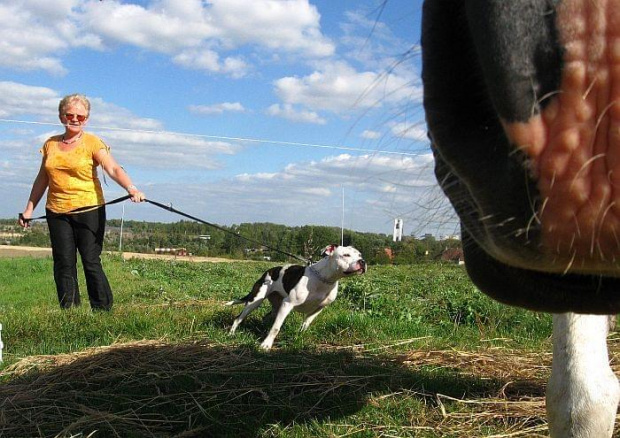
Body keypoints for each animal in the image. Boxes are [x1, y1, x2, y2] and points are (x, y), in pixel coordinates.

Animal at [226, 243, 364, 350]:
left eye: (360, 255)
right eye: (346, 255)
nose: (362, 262)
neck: (324, 279)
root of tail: (268, 272)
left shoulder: (318, 309)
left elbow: (306, 324)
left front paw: (299, 336)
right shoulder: (288, 304)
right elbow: (276, 328)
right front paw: (266, 345)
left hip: (276, 304)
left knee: (267, 316)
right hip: (255, 302)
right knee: (238, 318)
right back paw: (231, 334)